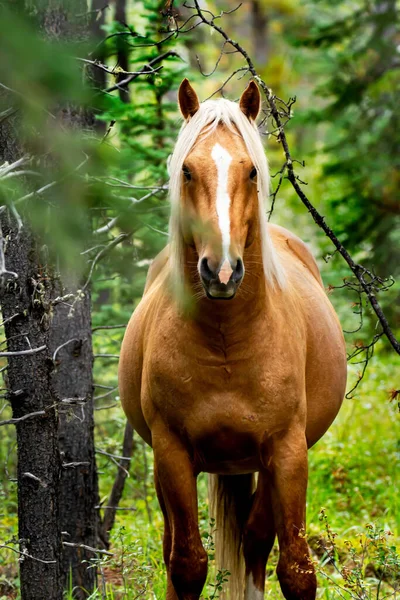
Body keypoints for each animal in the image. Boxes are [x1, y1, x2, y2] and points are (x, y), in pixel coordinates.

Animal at [119, 79, 346, 600]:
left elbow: (296, 569)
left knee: (256, 541)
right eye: (187, 170)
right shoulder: (171, 453)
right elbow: (186, 564)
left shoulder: (288, 451)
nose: (221, 271)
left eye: (251, 170)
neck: (227, 344)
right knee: (178, 546)